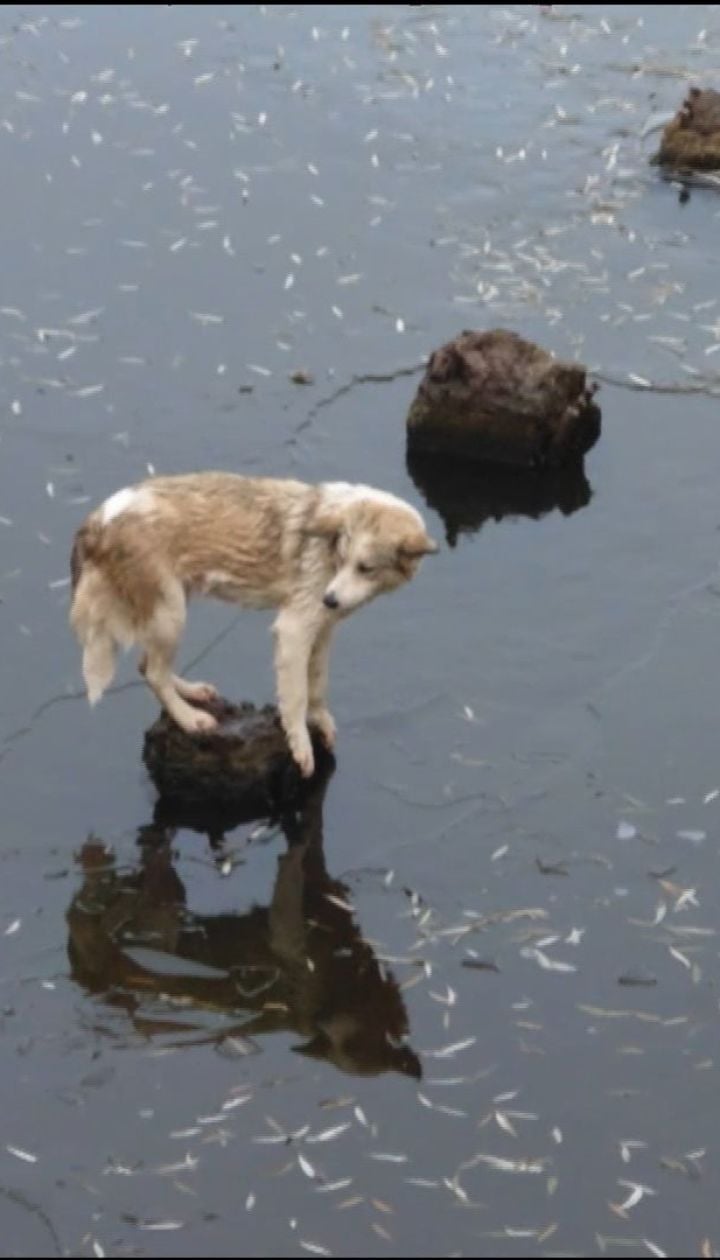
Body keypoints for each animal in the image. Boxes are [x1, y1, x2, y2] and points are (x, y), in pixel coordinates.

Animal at [69, 473, 438, 776]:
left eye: (366, 568)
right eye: (343, 559)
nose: (330, 600)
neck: (327, 544)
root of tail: (97, 519)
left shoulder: (323, 629)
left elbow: (318, 685)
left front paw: (320, 721)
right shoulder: (294, 629)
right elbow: (296, 697)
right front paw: (301, 745)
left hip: (169, 609)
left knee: (147, 665)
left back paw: (192, 692)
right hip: (170, 612)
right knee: (154, 672)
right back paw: (190, 719)